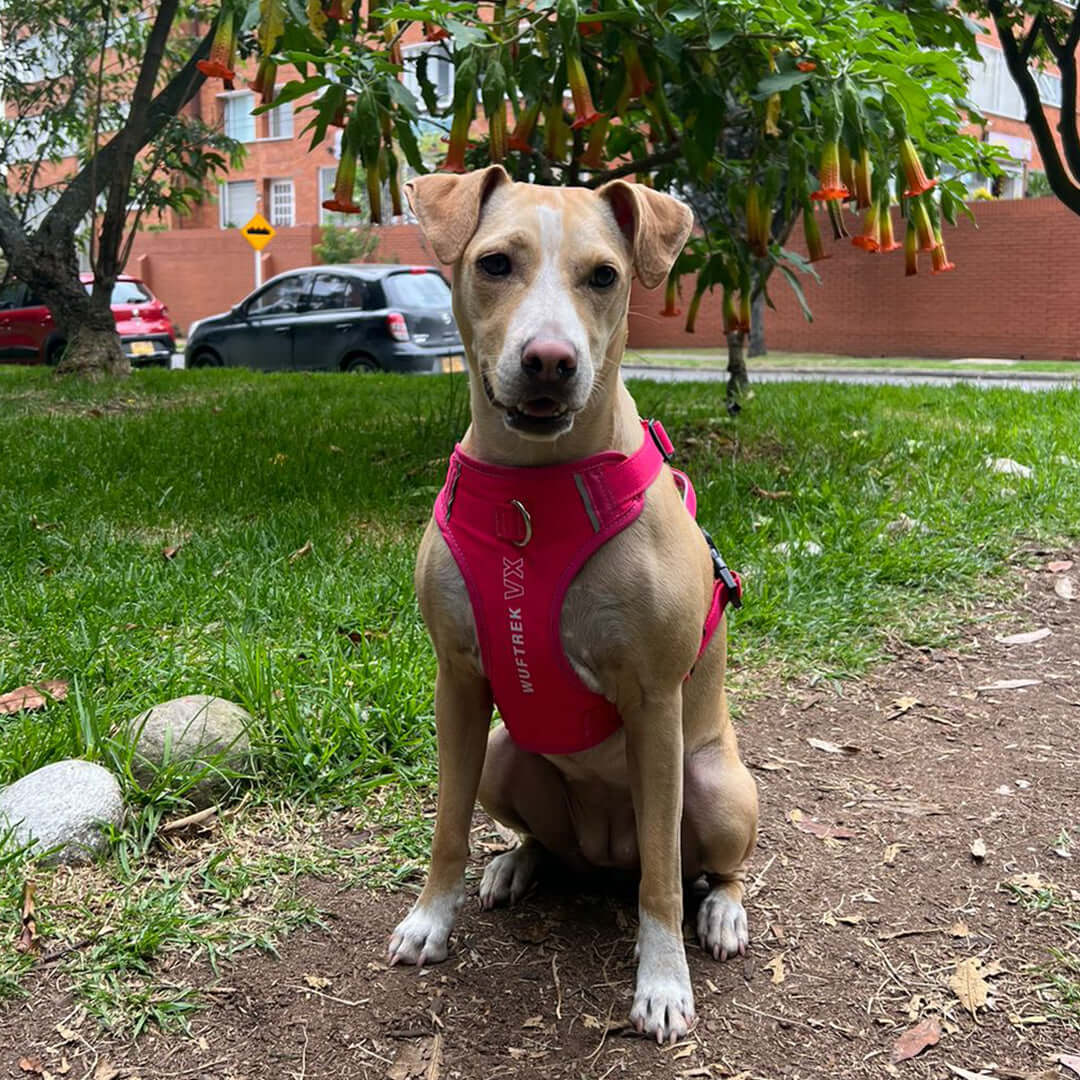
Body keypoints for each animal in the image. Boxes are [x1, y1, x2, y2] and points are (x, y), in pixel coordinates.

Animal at [390, 164, 760, 1041]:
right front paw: (431, 918)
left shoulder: (654, 704)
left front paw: (662, 982)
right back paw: (518, 863)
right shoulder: (458, 682)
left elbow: (664, 879)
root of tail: (604, 852)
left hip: (718, 787)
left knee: (706, 868)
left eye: (605, 276)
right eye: (494, 263)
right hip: (503, 754)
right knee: (547, 843)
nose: (550, 360)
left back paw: (722, 913)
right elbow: (446, 825)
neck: (532, 493)